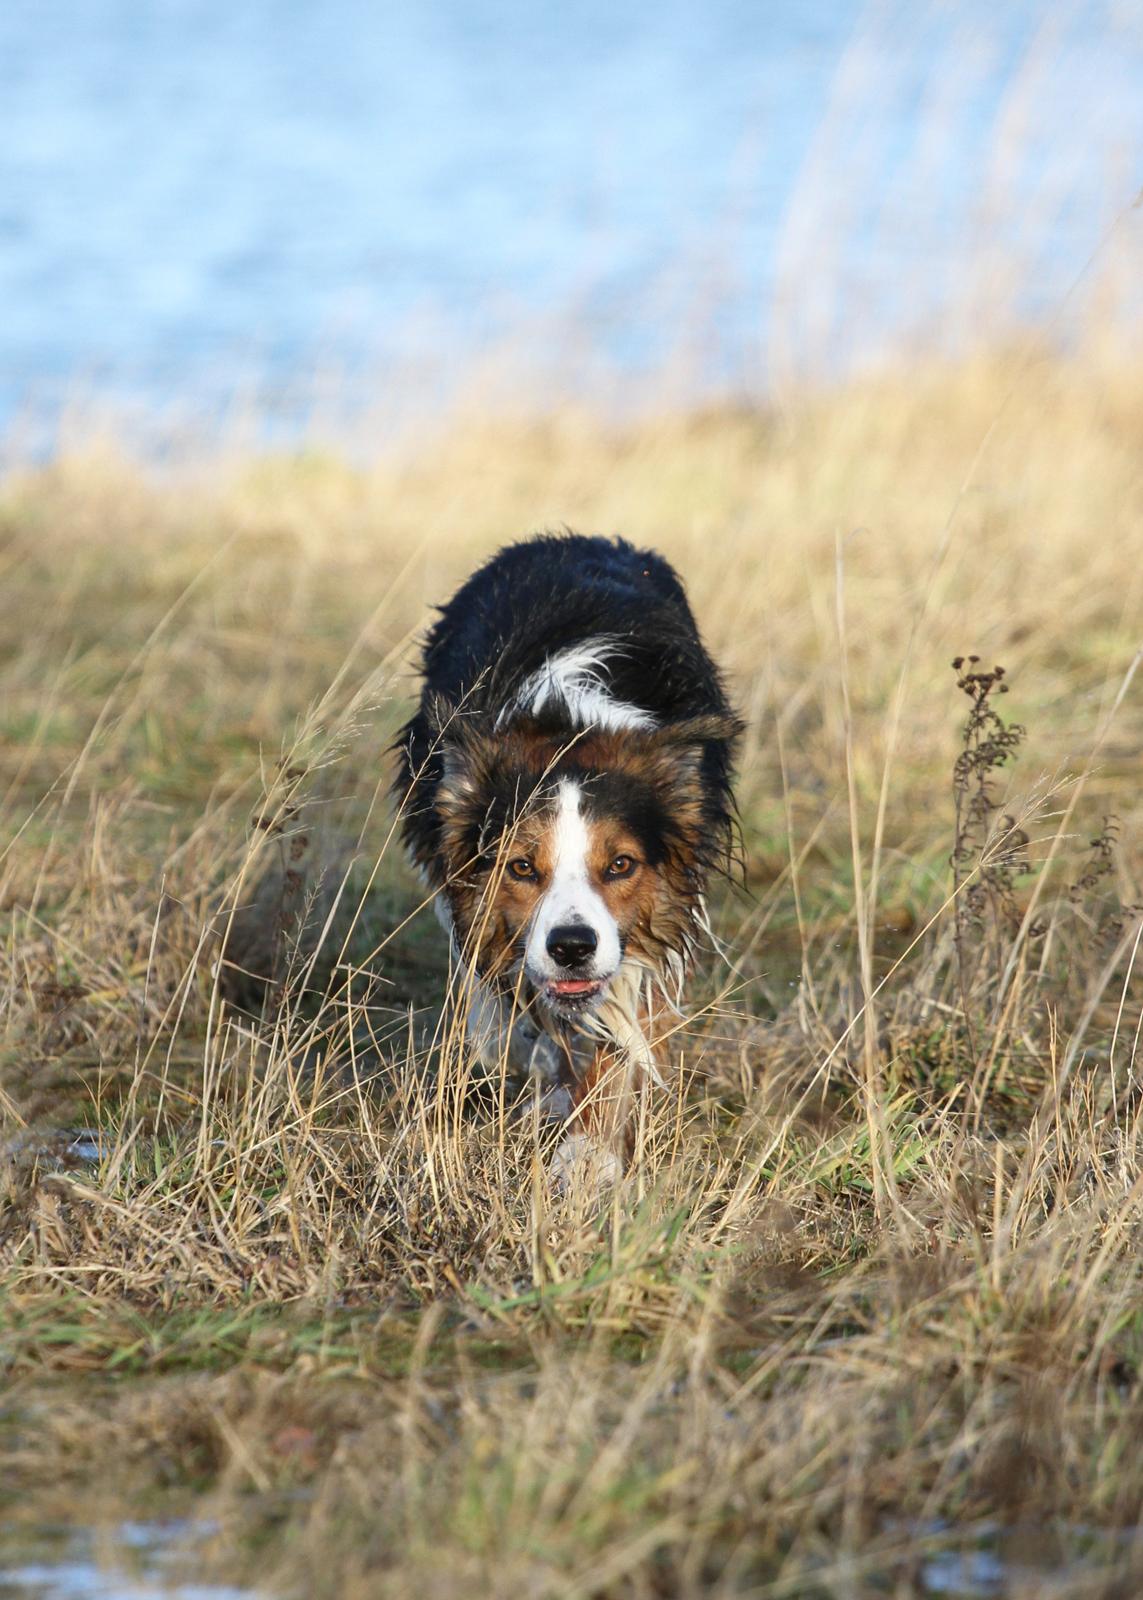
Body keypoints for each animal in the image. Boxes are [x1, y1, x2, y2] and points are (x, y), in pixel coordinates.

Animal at [397, 534, 742, 1177]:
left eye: (621, 865)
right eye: (521, 866)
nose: (572, 948)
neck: (571, 728)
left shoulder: (646, 930)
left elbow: (619, 1026)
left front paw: (590, 1152)